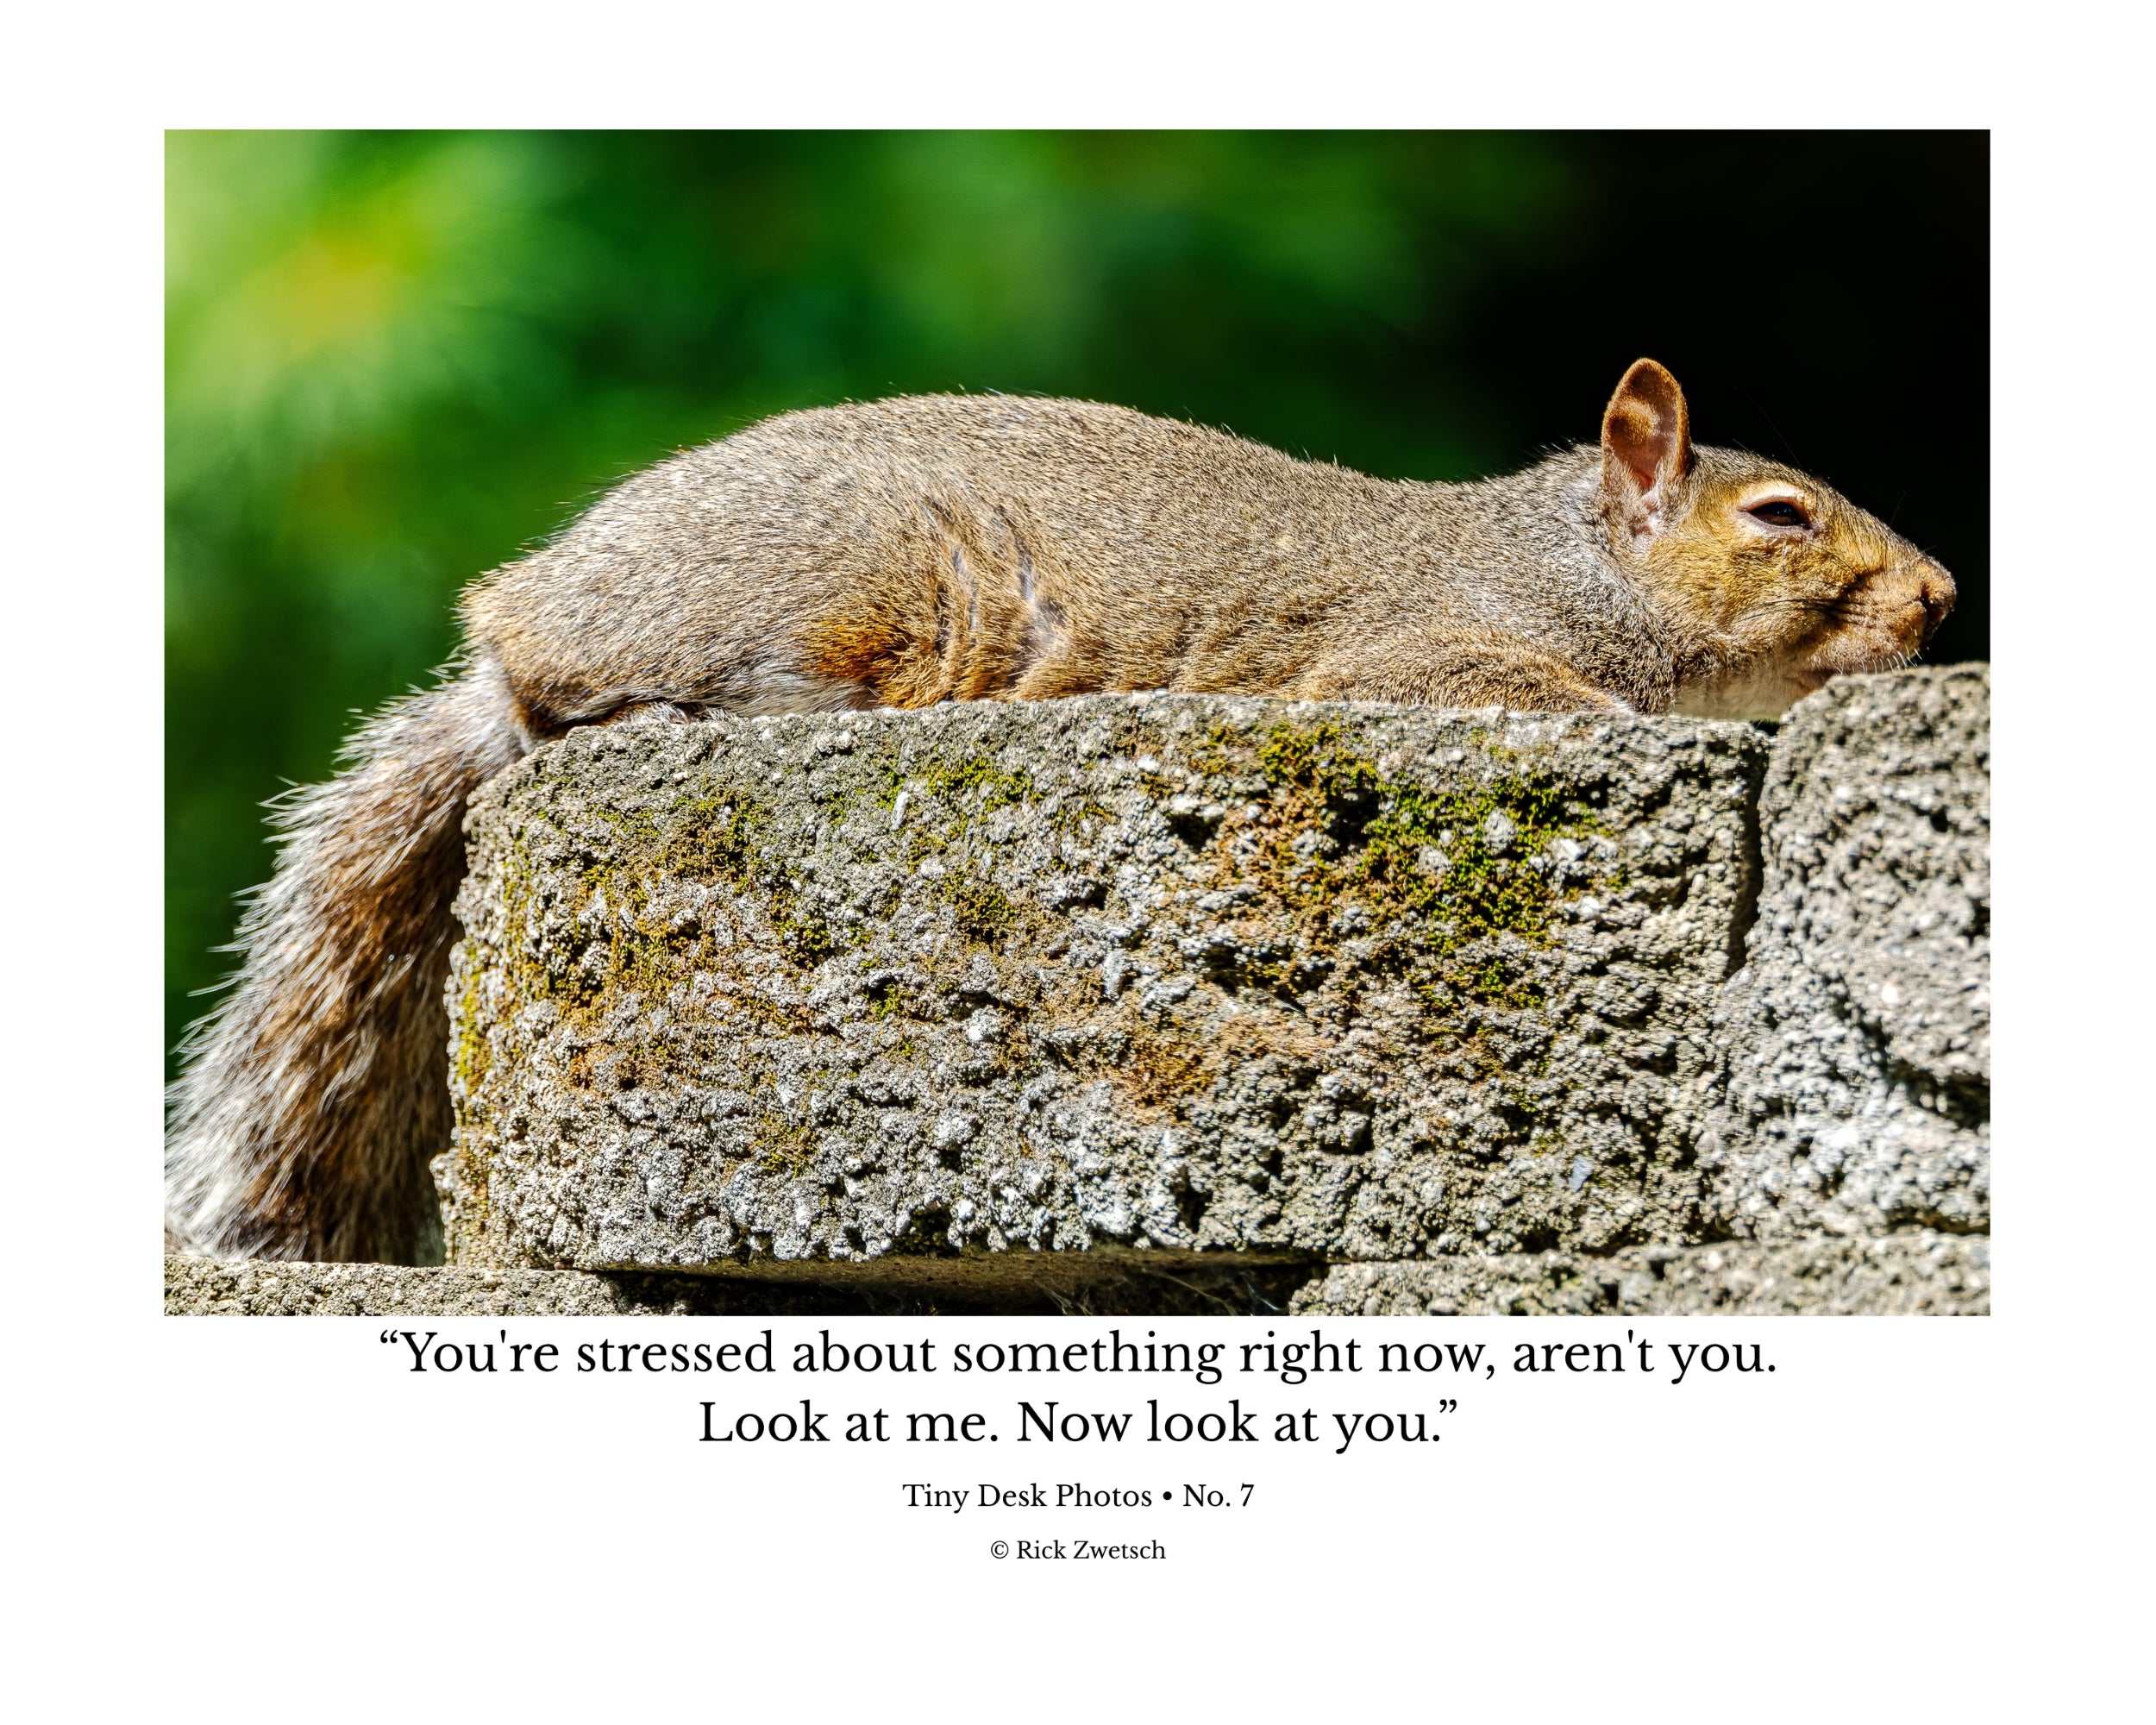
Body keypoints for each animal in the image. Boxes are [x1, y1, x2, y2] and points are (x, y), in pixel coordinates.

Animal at [165, 359, 1954, 1264]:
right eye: (1780, 516)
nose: (1941, 599)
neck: (1568, 564)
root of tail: (524, 607)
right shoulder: (1414, 654)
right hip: (833, 607)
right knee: (581, 698)